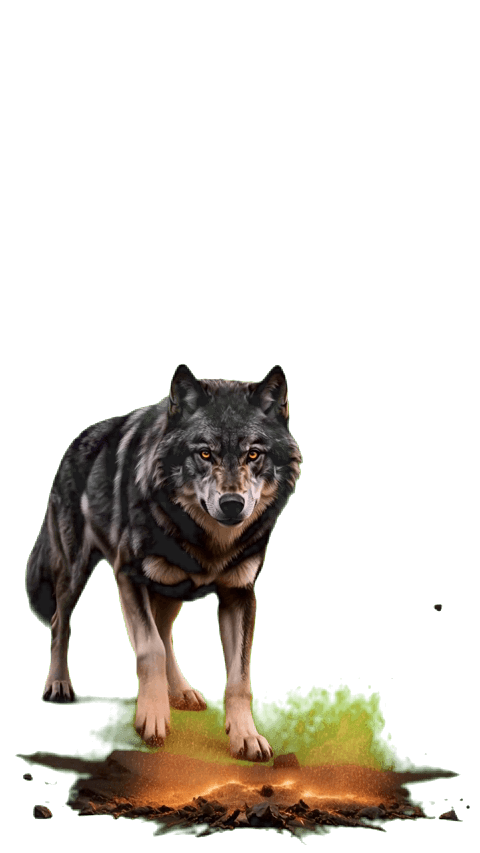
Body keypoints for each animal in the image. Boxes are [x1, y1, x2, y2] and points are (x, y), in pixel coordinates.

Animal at [26, 364, 302, 762]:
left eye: (253, 455)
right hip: (75, 573)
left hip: (170, 589)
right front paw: (152, 718)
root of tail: (75, 442)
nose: (232, 504)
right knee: (59, 622)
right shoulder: (128, 576)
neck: (209, 542)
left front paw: (246, 736)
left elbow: (239, 679)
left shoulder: (239, 594)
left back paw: (181, 692)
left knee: (164, 630)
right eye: (204, 454)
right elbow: (149, 650)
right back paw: (59, 684)